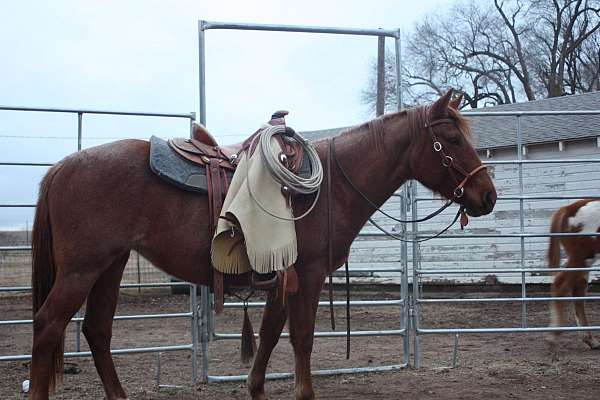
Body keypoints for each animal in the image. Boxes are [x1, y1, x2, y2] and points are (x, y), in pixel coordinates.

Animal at [29, 90, 496, 400]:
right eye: (453, 140)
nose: (488, 196)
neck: (333, 185)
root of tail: (61, 167)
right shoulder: (308, 276)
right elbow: (302, 341)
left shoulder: (282, 280)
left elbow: (270, 336)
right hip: (82, 269)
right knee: (48, 324)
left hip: (110, 265)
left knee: (97, 331)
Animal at [548, 199, 600, 350]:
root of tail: (568, 208)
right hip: (581, 257)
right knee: (560, 285)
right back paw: (554, 334)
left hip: (584, 262)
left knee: (578, 294)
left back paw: (590, 339)